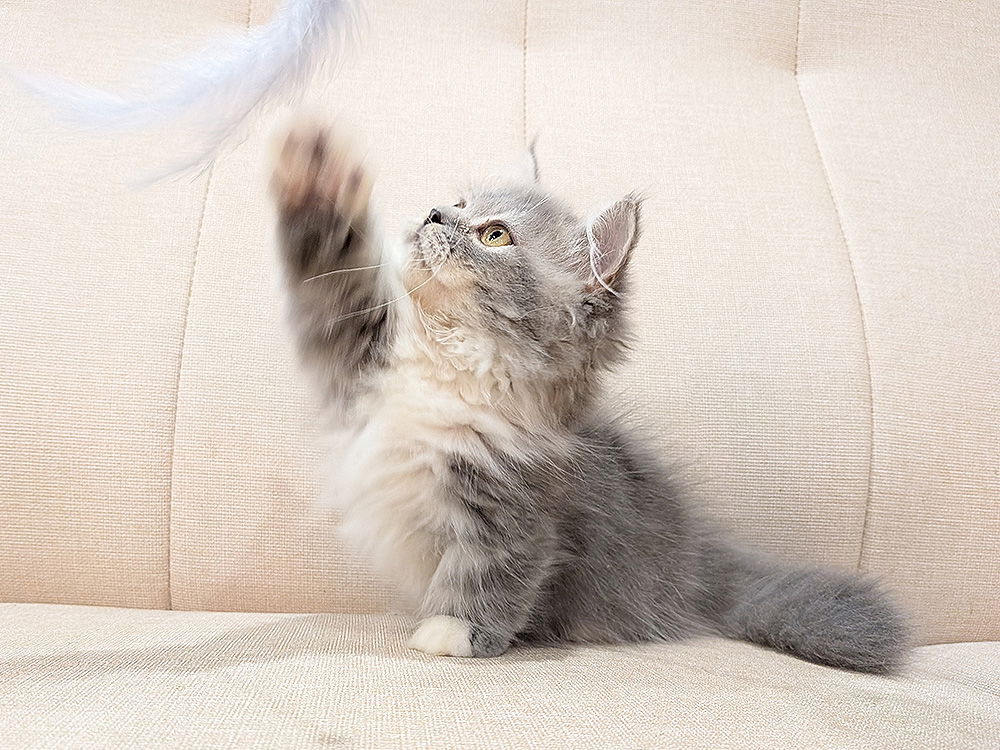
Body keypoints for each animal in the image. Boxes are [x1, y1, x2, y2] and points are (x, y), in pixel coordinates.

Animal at [270, 123, 909, 673]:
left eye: (494, 234)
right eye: (458, 203)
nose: (433, 212)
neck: (449, 369)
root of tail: (704, 561)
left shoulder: (518, 512)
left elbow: (491, 576)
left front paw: (453, 632)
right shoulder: (359, 360)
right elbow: (334, 278)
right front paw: (315, 176)